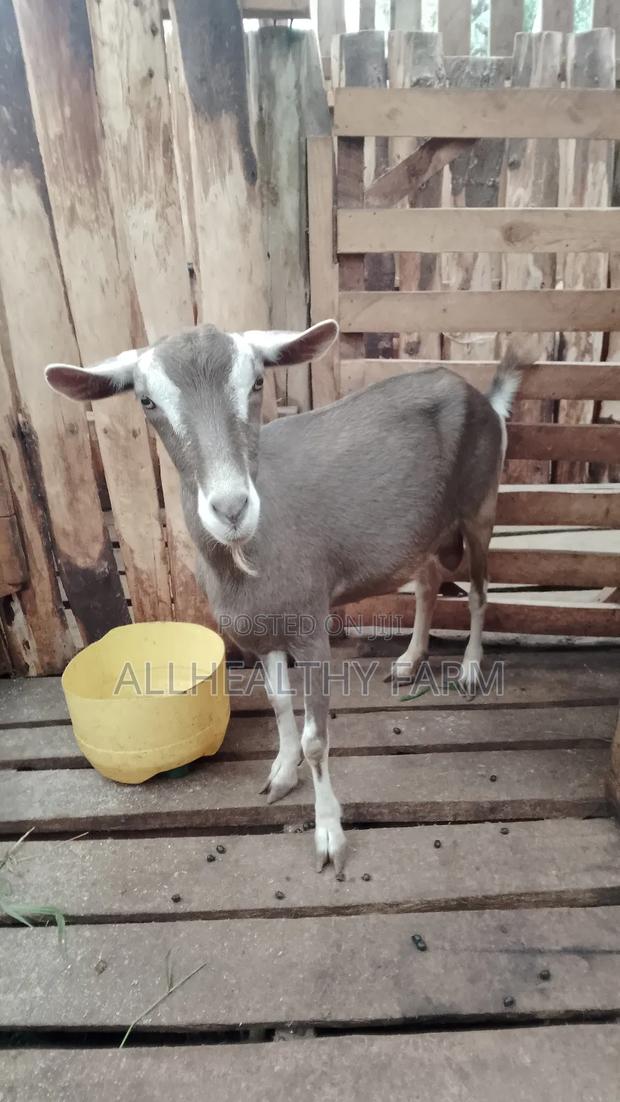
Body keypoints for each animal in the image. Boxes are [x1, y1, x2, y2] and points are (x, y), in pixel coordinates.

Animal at [46, 322, 529, 874]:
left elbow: (317, 739)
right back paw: (409, 660)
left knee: (479, 591)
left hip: (481, 505)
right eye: (146, 400)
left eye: (257, 382)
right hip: (423, 531)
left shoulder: (311, 628)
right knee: (428, 583)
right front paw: (281, 772)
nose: (232, 507)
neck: (248, 557)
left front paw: (329, 835)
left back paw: (469, 668)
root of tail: (480, 395)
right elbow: (279, 703)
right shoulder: (260, 633)